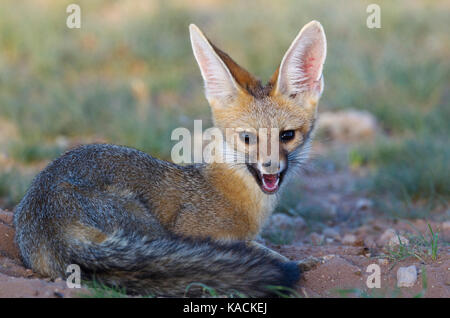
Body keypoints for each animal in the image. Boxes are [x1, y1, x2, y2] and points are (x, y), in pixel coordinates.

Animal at [14, 21, 326, 296]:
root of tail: (51, 221)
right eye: (248, 138)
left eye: (287, 135)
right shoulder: (194, 233)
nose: (270, 167)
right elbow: (260, 251)